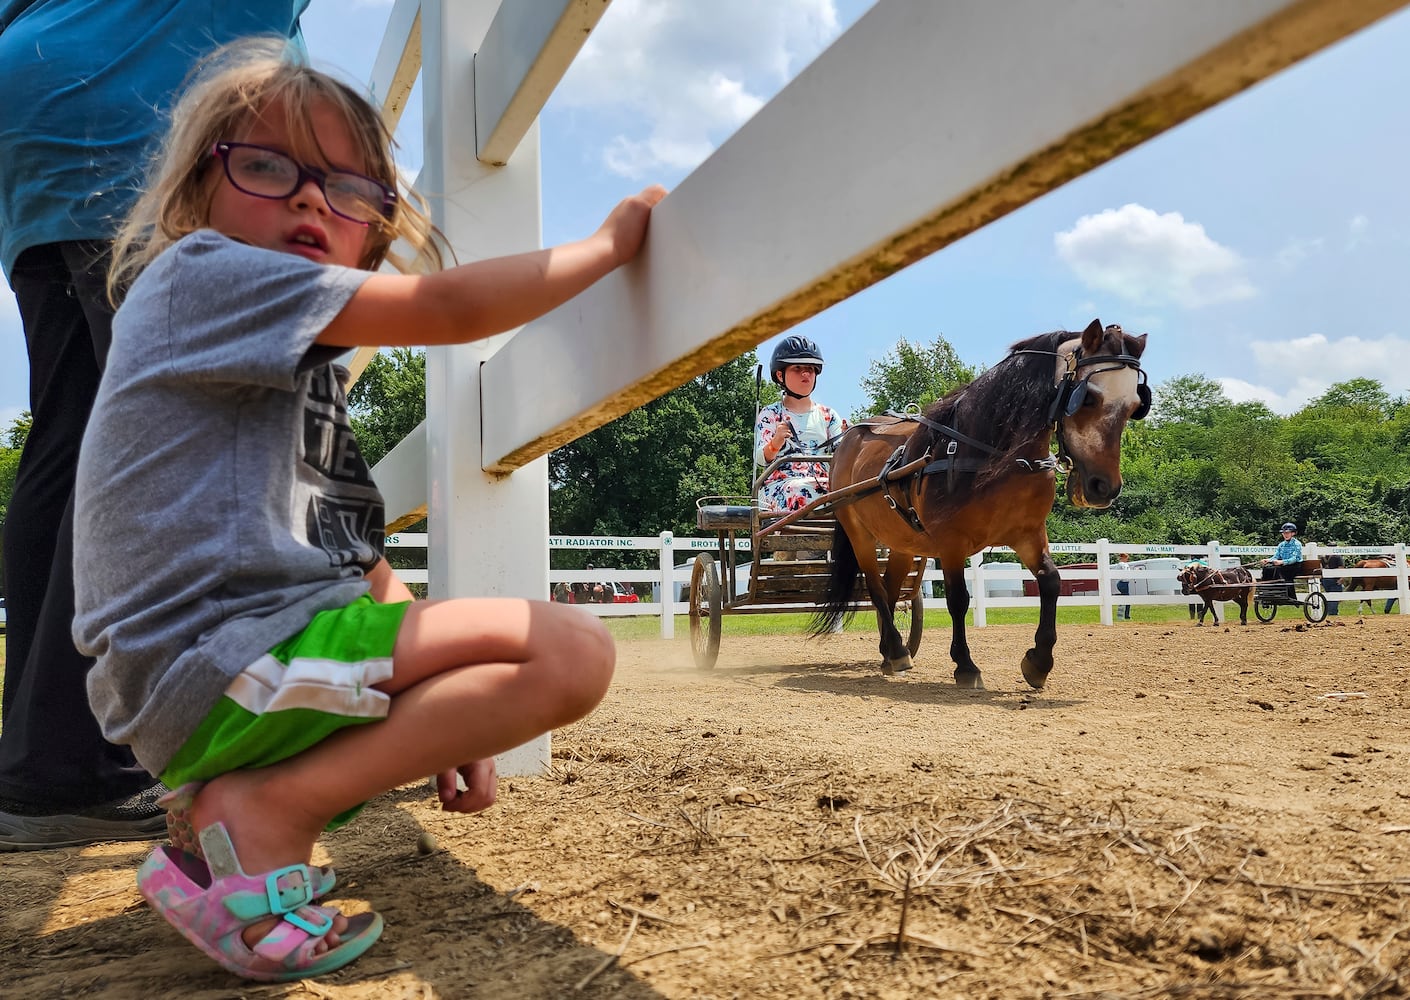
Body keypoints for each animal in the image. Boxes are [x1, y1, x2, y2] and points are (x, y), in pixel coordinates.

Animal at [817, 320, 1144, 685]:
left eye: (1134, 406)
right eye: (1087, 397)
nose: (1103, 488)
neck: (994, 455)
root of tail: (849, 439)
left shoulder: (1028, 534)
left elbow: (1051, 581)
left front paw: (1039, 660)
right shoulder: (951, 543)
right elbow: (959, 599)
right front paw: (965, 664)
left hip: (902, 541)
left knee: (890, 590)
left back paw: (890, 652)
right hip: (858, 533)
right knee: (875, 589)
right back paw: (898, 650)